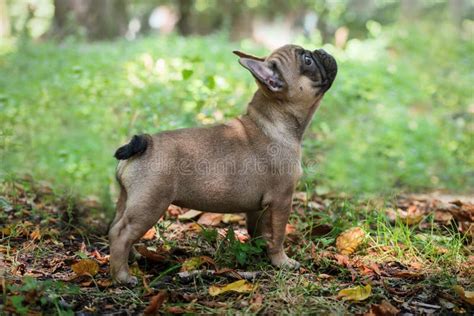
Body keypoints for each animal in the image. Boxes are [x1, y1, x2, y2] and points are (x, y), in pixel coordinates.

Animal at [108, 43, 336, 284]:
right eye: (307, 60)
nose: (321, 51)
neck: (272, 120)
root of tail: (145, 142)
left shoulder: (259, 206)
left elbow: (259, 232)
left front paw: (260, 253)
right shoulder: (282, 199)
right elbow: (278, 234)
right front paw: (281, 261)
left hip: (127, 199)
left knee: (116, 227)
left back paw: (132, 257)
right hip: (151, 203)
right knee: (122, 234)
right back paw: (122, 276)